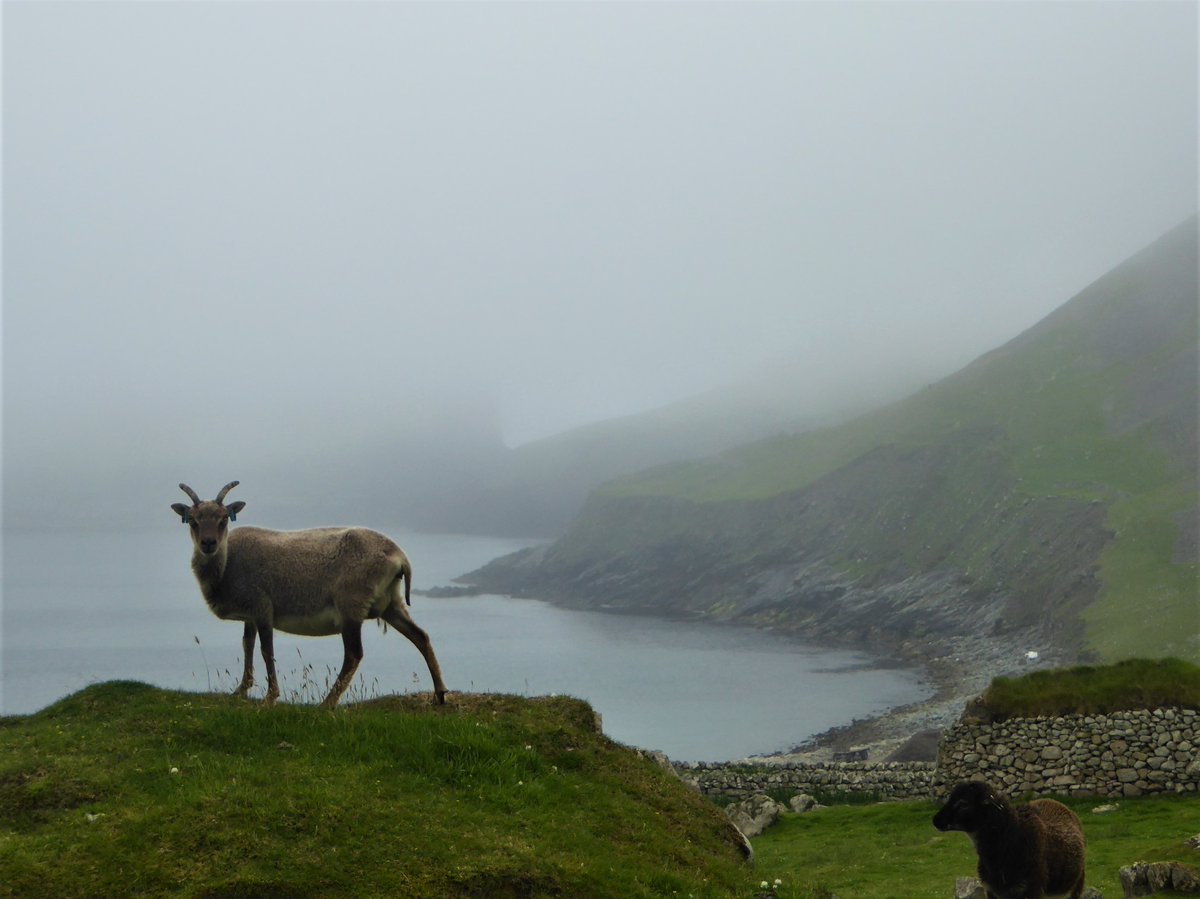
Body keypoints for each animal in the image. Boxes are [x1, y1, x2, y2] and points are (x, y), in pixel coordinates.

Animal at [931, 777, 1094, 897]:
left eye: (963, 804)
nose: (936, 820)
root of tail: (1054, 802)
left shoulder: (1033, 888)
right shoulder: (992, 891)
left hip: (1076, 883)